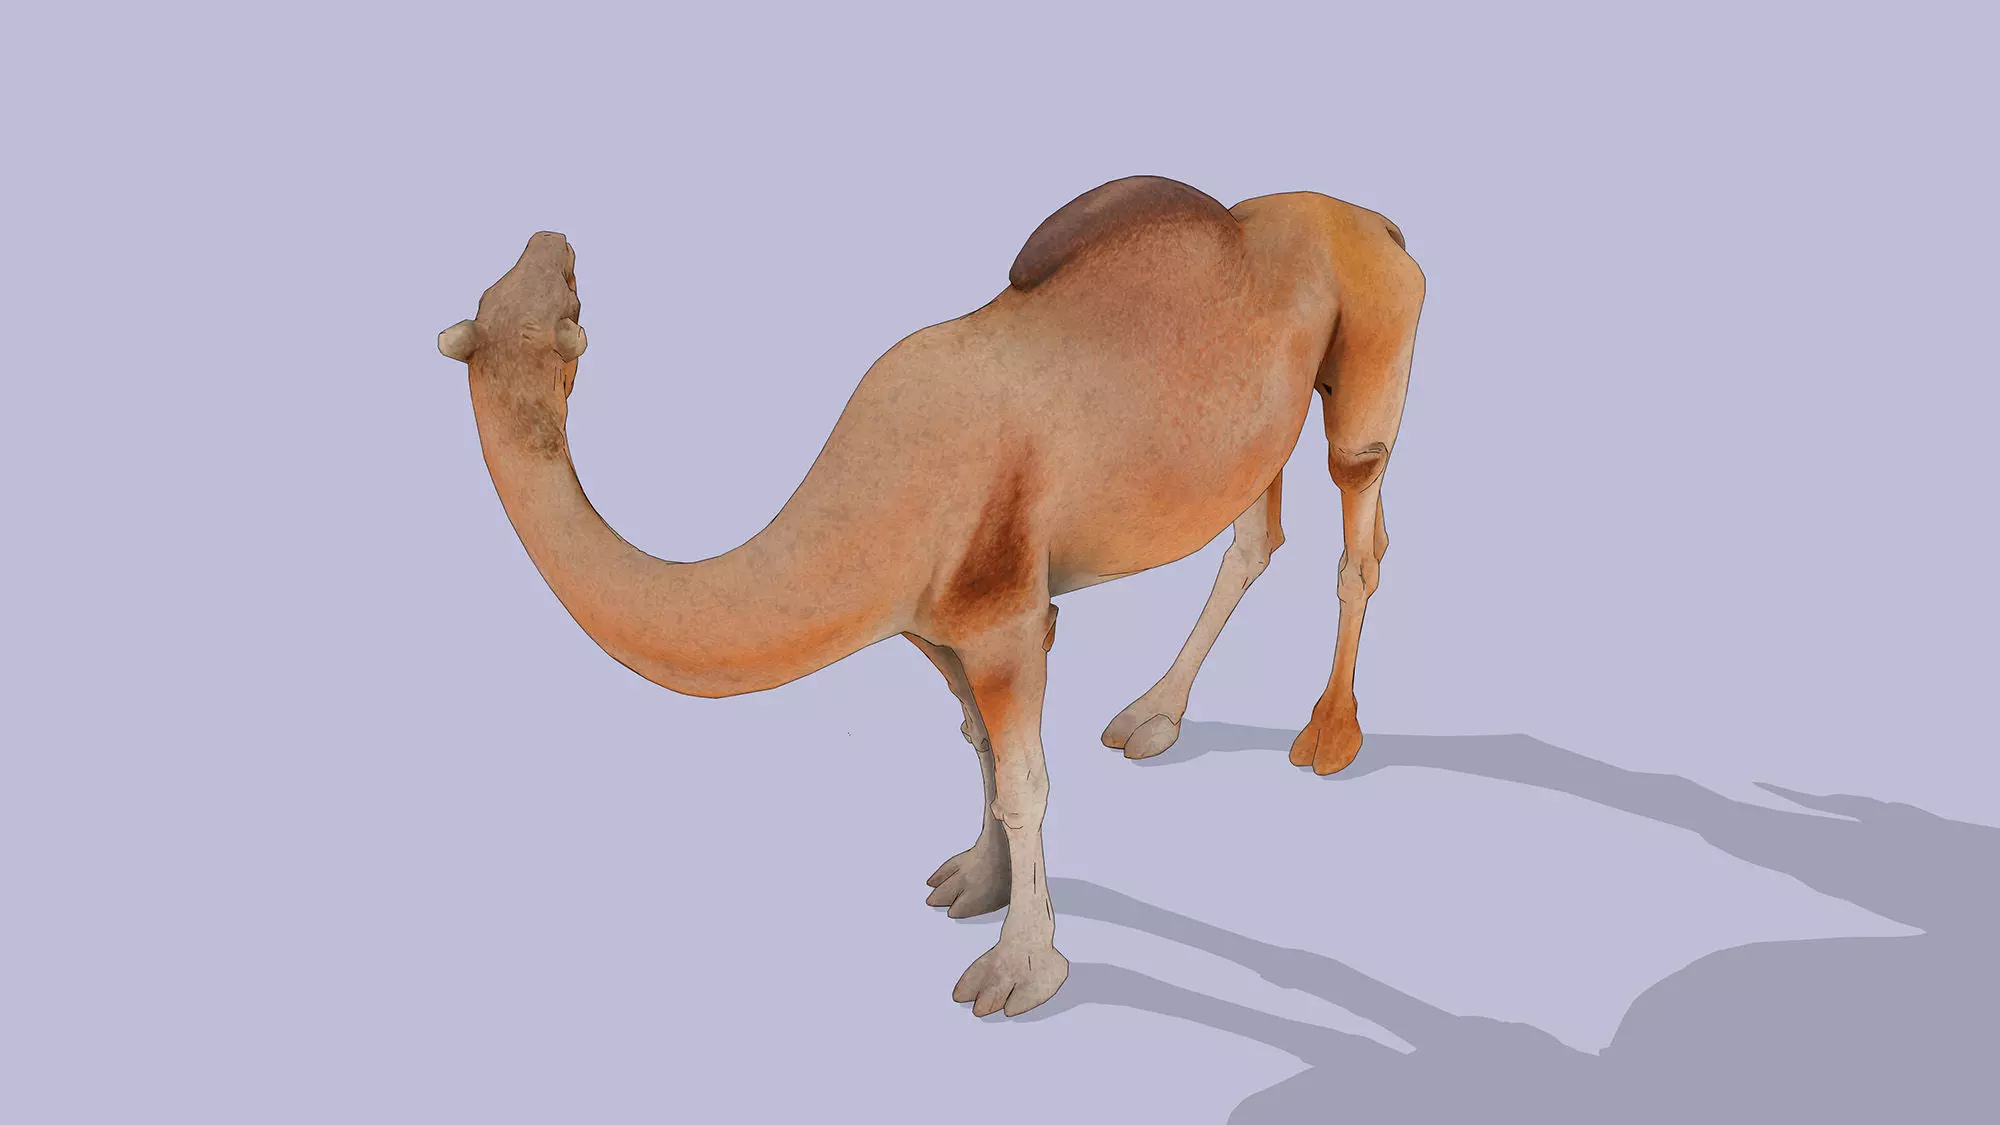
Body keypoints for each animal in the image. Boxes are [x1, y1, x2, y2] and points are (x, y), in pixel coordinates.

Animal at [436, 176, 1424, 1017]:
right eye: (504, 290)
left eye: (568, 298)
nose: (551, 238)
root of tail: (1379, 221)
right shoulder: (938, 627)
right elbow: (978, 750)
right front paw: (977, 884)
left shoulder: (1007, 618)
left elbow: (1025, 781)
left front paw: (1021, 968)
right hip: (1260, 424)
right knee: (1255, 535)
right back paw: (1151, 717)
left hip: (1376, 334)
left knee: (1359, 512)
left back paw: (1328, 736)